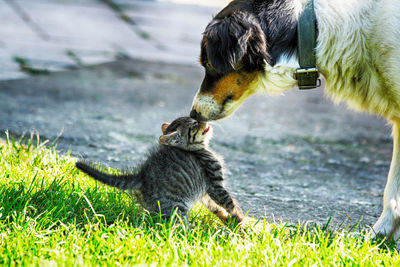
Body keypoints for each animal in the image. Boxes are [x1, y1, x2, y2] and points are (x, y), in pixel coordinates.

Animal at [75, 116, 244, 224]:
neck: (199, 150)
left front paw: (228, 219)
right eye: (194, 123)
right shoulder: (215, 185)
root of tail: (142, 175)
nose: (202, 118)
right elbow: (230, 203)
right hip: (177, 208)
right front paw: (242, 221)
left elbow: (216, 207)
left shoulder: (206, 193)